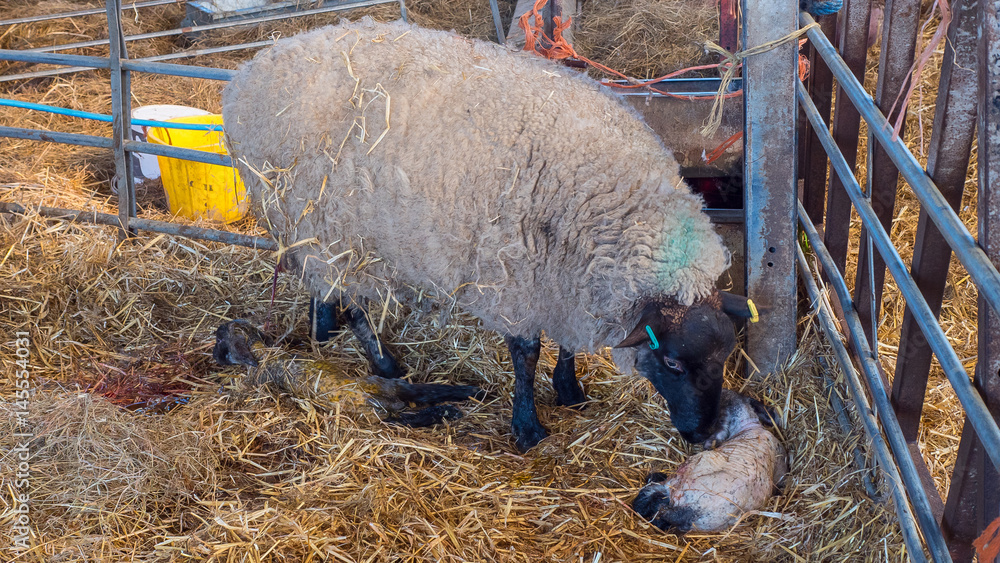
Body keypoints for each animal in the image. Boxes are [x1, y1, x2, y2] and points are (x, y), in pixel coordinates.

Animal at [213, 319, 482, 426]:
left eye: (219, 340)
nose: (213, 356)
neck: (261, 349)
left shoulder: (258, 376)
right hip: (392, 388)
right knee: (425, 396)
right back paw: (467, 396)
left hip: (380, 409)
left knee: (410, 417)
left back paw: (453, 408)